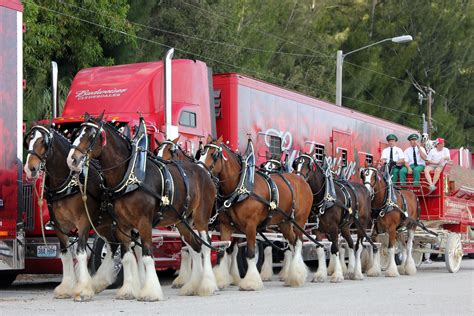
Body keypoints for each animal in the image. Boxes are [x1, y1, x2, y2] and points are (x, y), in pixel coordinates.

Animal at [24, 124, 118, 300]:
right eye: (29, 141)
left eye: (43, 142)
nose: (30, 168)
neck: (68, 183)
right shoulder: (59, 225)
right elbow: (65, 254)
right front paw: (66, 287)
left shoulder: (83, 223)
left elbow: (81, 253)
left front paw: (83, 289)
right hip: (106, 226)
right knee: (114, 247)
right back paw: (102, 282)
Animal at [67, 115, 218, 300]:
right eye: (77, 132)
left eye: (92, 135)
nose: (72, 159)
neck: (130, 176)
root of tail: (205, 172)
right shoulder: (122, 225)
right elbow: (127, 257)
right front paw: (128, 290)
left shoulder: (144, 222)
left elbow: (146, 256)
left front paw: (150, 292)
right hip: (183, 222)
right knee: (194, 248)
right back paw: (192, 286)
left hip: (201, 218)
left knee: (205, 245)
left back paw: (207, 286)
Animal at [197, 136, 312, 288]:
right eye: (201, 153)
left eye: (213, 154)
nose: (199, 171)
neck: (240, 187)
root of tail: (303, 181)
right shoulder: (226, 226)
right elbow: (222, 252)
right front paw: (221, 281)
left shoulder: (251, 226)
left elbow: (250, 253)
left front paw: (250, 283)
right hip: (284, 222)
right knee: (292, 244)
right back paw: (292, 275)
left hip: (299, 220)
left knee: (298, 243)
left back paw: (296, 275)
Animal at [294, 153, 376, 282]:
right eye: (296, 163)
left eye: (308, 165)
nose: (298, 181)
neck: (326, 198)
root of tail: (365, 190)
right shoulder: (316, 230)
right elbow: (320, 249)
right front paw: (320, 274)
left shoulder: (333, 227)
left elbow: (335, 248)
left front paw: (337, 275)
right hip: (345, 227)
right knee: (351, 244)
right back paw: (350, 271)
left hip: (361, 225)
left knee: (358, 246)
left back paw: (357, 273)